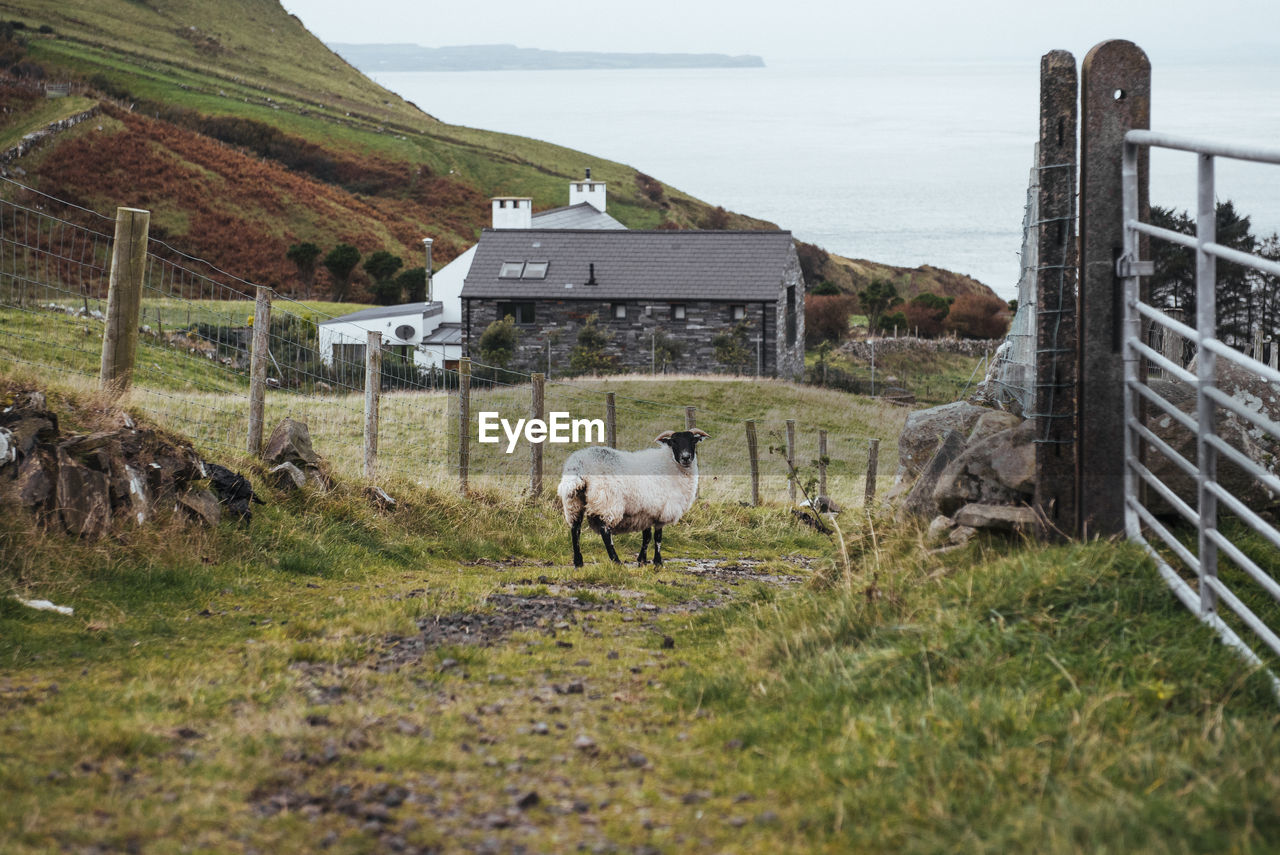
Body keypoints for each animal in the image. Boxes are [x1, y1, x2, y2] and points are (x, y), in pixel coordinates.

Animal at [555, 427, 711, 568]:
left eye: (693, 441)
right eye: (673, 442)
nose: (686, 457)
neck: (670, 464)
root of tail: (578, 465)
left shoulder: (646, 512)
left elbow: (647, 537)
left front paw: (642, 561)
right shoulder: (660, 511)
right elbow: (657, 537)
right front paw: (658, 562)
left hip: (573, 502)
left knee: (575, 529)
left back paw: (578, 562)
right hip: (607, 502)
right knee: (605, 532)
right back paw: (616, 561)